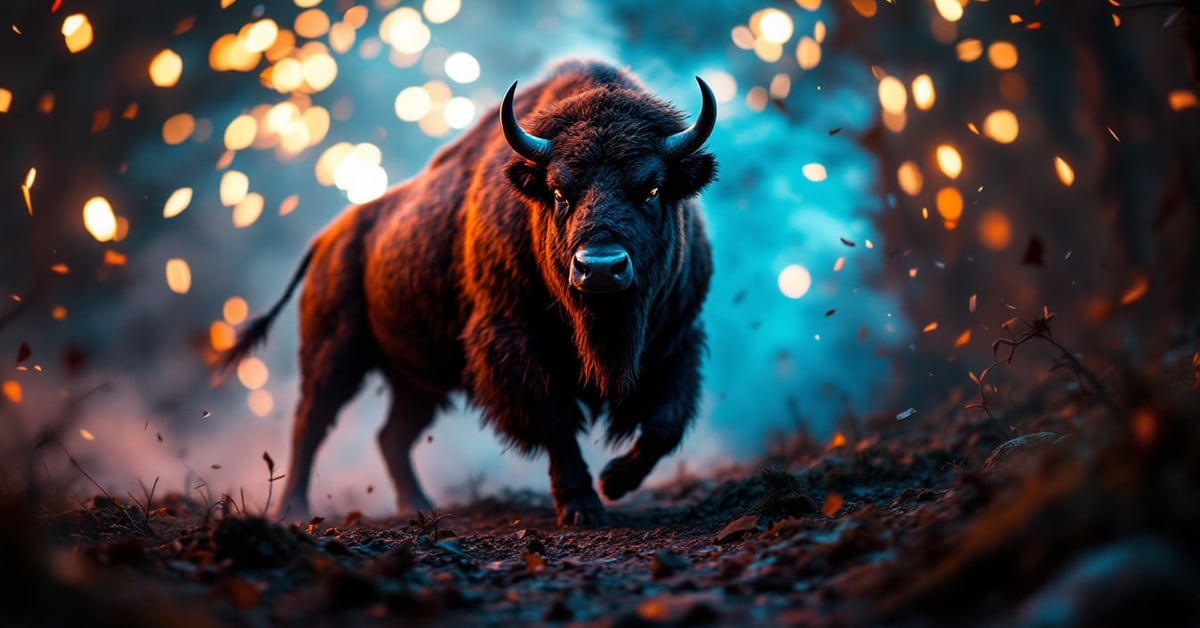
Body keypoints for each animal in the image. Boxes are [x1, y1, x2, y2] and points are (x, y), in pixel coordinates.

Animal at [224, 60, 717, 526]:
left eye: (652, 188)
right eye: (560, 192)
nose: (598, 268)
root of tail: (329, 239)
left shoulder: (676, 338)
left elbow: (666, 423)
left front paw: (614, 481)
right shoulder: (513, 343)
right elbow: (554, 421)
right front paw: (582, 507)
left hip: (416, 380)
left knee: (391, 436)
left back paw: (416, 504)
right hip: (336, 356)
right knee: (310, 424)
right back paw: (293, 509)